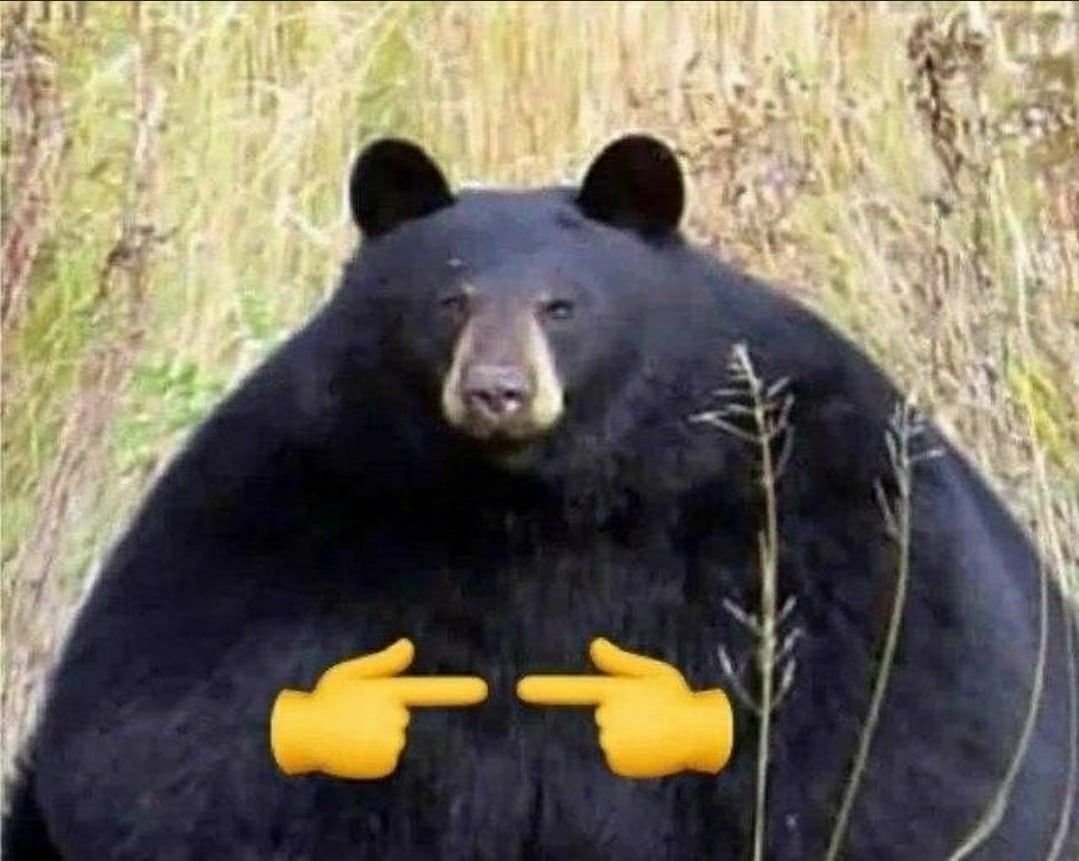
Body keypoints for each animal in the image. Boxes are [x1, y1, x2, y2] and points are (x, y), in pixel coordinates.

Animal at [3, 133, 1075, 860]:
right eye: (449, 300)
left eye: (561, 305)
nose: (496, 392)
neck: (539, 502)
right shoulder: (287, 501)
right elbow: (179, 741)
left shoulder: (811, 496)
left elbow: (902, 727)